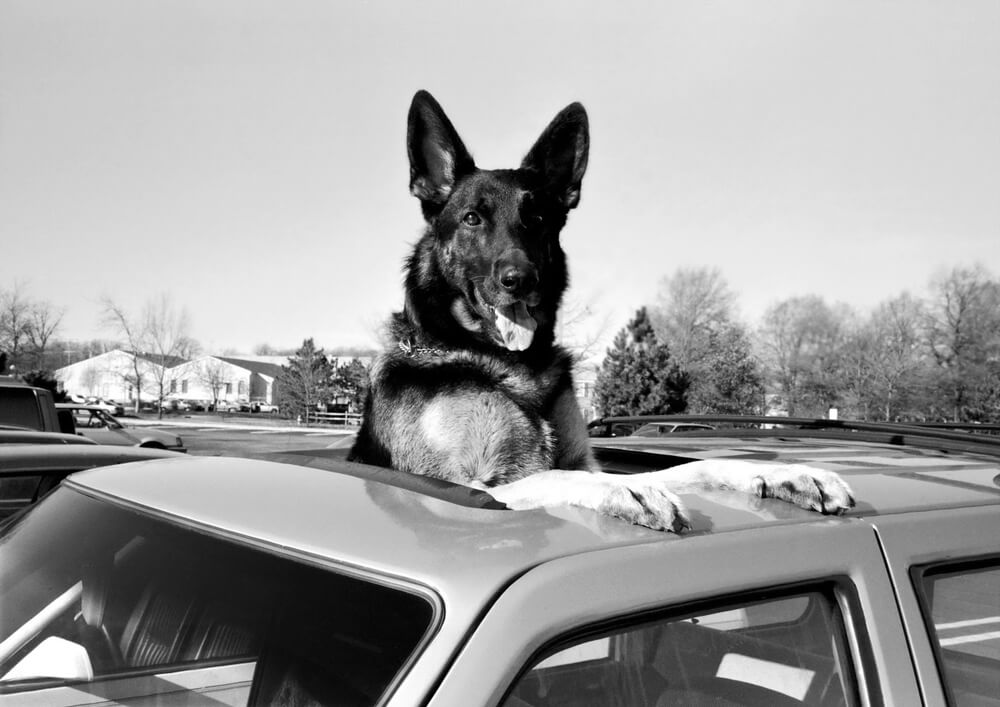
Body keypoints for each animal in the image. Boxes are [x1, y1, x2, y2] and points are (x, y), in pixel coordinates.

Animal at [348, 90, 856, 532]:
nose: (522, 279)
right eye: (472, 218)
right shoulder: (463, 484)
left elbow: (695, 466)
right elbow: (560, 476)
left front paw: (789, 473)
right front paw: (628, 493)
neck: (499, 362)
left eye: (537, 219)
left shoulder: (584, 458)